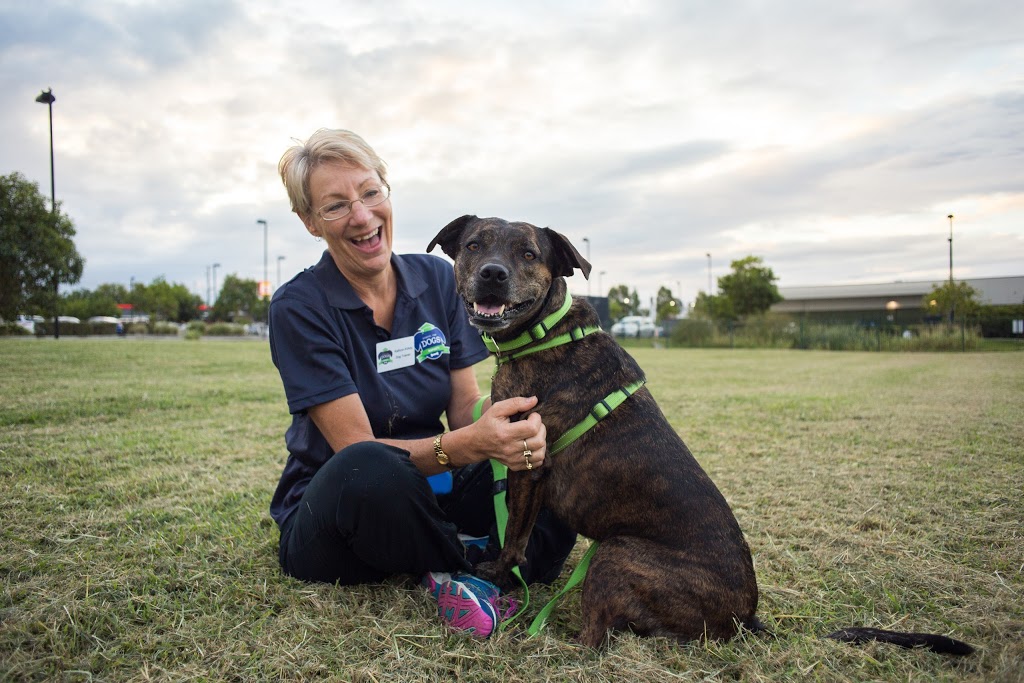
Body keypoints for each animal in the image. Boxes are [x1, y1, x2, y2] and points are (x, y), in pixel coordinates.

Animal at [425, 216, 974, 655]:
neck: (545, 332)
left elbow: (514, 535)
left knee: (595, 641)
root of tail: (746, 616)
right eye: (474, 244)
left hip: (615, 552)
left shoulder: (526, 463)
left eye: (529, 254)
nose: (492, 273)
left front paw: (497, 573)